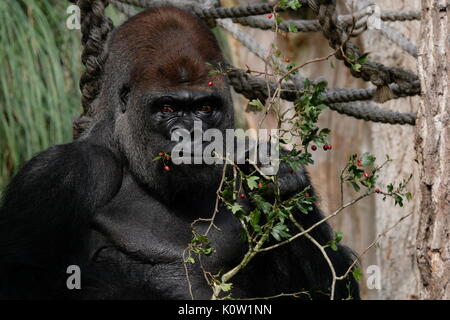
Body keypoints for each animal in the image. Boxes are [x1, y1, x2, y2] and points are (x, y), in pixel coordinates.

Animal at [0, 5, 360, 300]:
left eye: (204, 108)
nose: (193, 136)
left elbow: (330, 288)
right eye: (168, 108)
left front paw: (282, 180)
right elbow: (20, 278)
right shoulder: (62, 172)